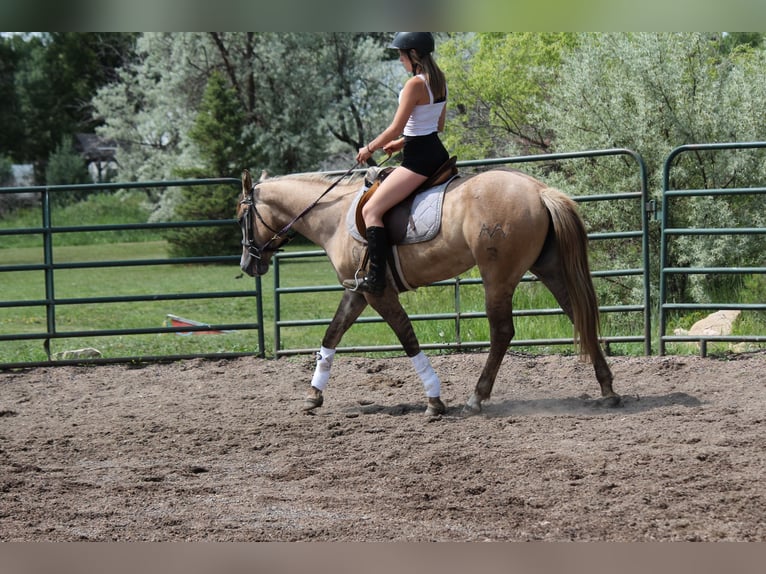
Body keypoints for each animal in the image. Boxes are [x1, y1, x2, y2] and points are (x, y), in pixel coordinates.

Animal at [237, 167, 621, 416]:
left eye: (241, 217)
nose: (246, 265)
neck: (334, 217)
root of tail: (539, 191)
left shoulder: (378, 294)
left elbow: (407, 338)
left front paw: (434, 400)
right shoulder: (357, 291)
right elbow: (332, 333)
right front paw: (313, 395)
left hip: (497, 278)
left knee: (502, 332)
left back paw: (476, 398)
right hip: (549, 269)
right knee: (579, 315)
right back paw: (607, 389)